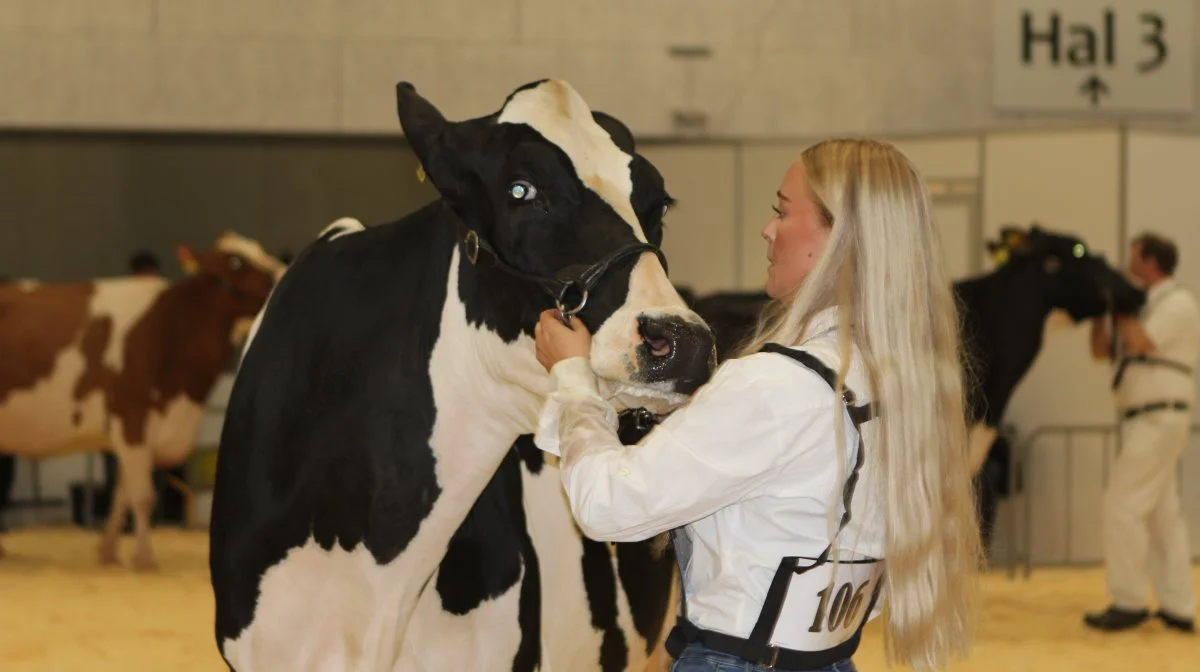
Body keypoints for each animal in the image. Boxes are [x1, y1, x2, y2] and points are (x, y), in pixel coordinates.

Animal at [0, 234, 283, 568]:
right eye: (236, 261)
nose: (285, 272)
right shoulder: (131, 418)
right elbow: (143, 495)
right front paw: (145, 558)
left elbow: (122, 493)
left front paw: (109, 551)